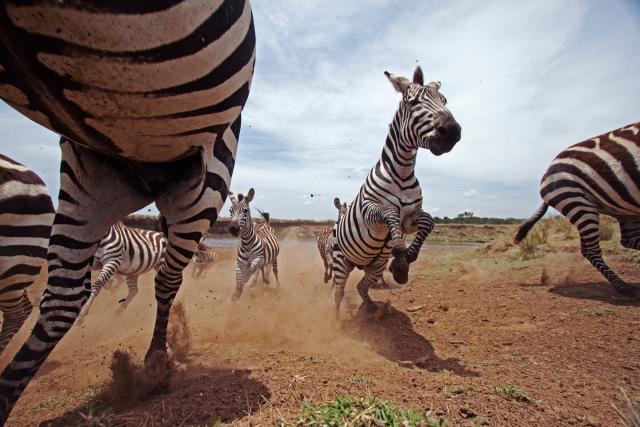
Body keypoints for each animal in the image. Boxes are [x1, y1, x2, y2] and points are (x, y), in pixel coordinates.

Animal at [332, 67, 461, 316]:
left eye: (444, 101)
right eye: (413, 102)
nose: (451, 131)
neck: (402, 171)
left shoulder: (409, 219)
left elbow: (428, 222)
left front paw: (404, 262)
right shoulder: (371, 213)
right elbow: (389, 213)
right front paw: (400, 250)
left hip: (375, 266)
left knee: (362, 287)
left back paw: (372, 311)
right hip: (340, 262)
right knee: (338, 293)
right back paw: (335, 320)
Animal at [515, 122, 640, 296]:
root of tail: (547, 171)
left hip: (622, 211)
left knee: (628, 240)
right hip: (579, 204)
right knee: (591, 250)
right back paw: (622, 286)